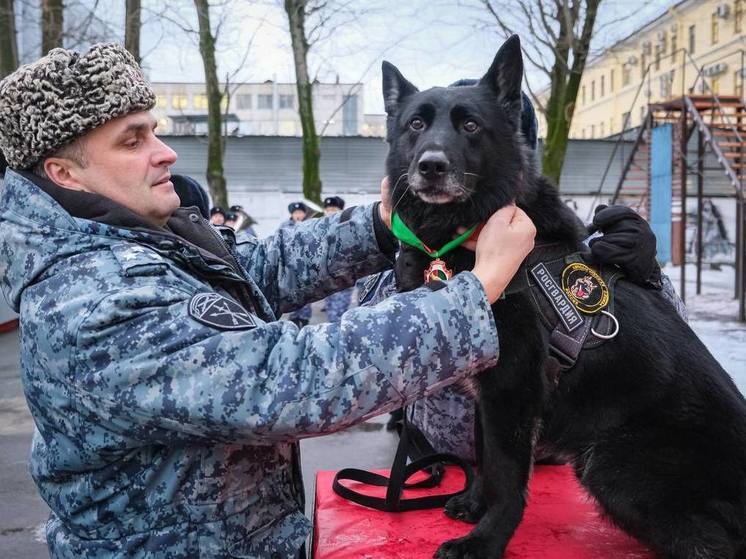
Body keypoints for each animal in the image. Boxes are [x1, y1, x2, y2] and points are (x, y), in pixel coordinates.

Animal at [380, 36, 744, 559]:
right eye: (415, 124)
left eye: (470, 125)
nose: (431, 166)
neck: (467, 230)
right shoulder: (489, 393)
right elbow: (485, 456)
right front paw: (473, 503)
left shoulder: (512, 389)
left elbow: (507, 478)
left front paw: (486, 539)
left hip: (612, 466)